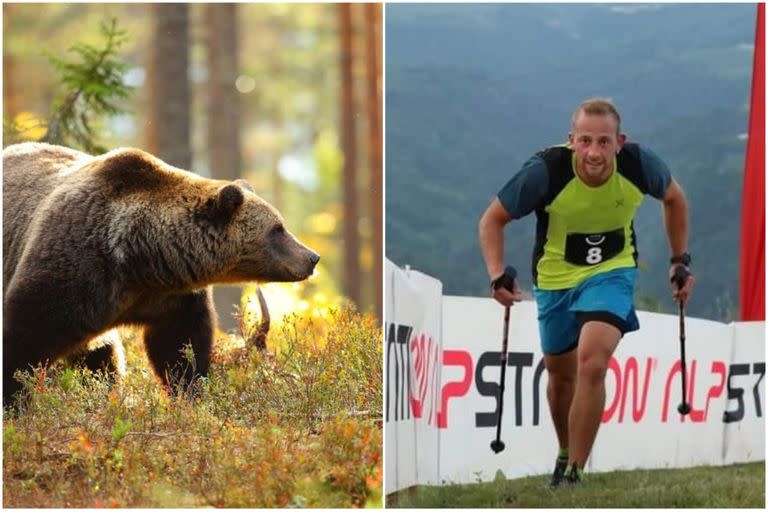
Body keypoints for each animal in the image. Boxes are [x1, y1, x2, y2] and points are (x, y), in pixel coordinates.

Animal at [2, 142, 318, 406]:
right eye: (277, 229)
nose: (312, 257)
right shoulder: (74, 267)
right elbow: (25, 335)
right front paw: (14, 403)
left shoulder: (170, 298)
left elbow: (178, 347)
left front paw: (189, 393)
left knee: (102, 358)